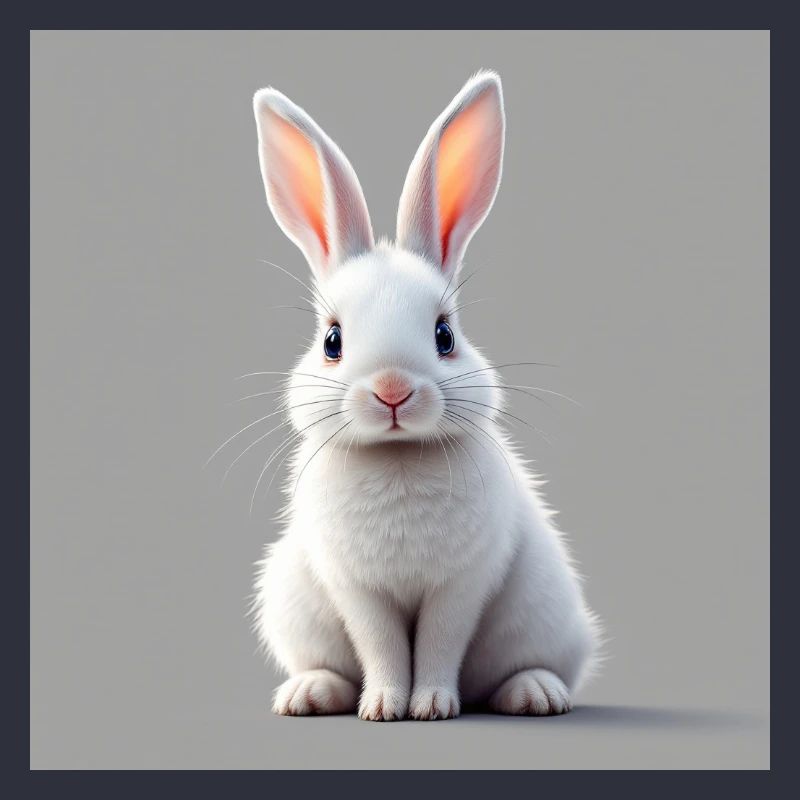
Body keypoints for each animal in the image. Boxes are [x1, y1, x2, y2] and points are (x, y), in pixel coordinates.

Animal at [246, 70, 600, 721]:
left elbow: (439, 642)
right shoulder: (356, 589)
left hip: (545, 612)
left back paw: (535, 693)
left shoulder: (461, 585)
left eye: (445, 335)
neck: (398, 457)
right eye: (332, 340)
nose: (392, 389)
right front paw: (385, 706)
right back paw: (310, 693)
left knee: (516, 668)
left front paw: (431, 705)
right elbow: (382, 645)